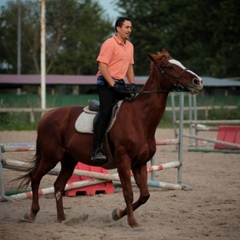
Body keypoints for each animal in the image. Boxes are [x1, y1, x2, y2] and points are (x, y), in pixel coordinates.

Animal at [16, 48, 202, 227]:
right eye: (169, 67)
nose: (198, 81)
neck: (139, 118)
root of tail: (46, 116)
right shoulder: (123, 162)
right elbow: (128, 193)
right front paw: (132, 222)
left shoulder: (140, 164)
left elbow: (144, 195)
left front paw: (117, 214)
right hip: (50, 157)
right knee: (35, 178)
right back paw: (32, 214)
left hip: (69, 160)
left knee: (58, 186)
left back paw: (62, 218)